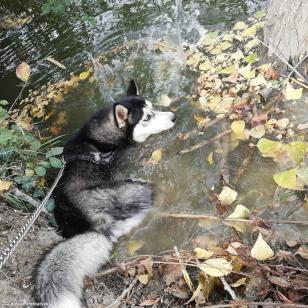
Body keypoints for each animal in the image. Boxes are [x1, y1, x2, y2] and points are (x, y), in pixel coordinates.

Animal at [33, 80, 176, 308]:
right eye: (147, 117)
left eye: (153, 108)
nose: (173, 117)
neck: (100, 139)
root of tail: (94, 226)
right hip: (138, 191)